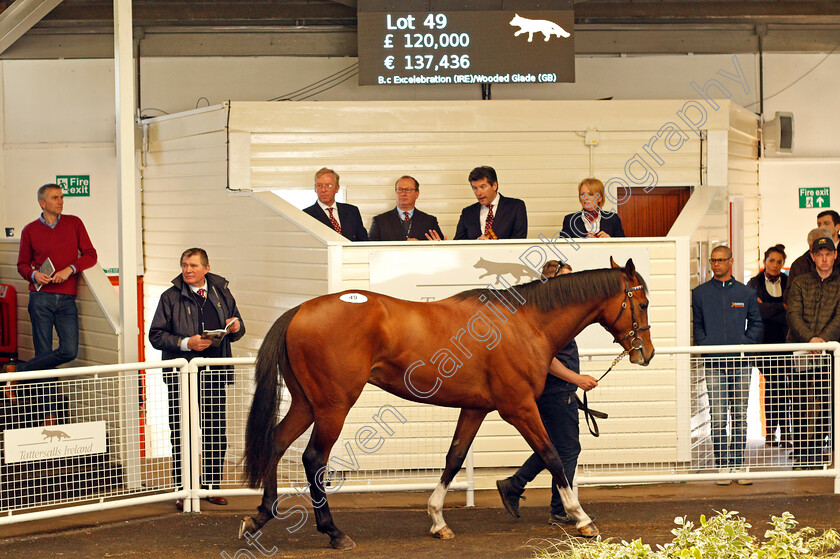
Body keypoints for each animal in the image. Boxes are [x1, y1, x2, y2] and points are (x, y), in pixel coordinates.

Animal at [240, 258, 652, 552]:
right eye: (643, 303)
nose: (645, 353)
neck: (525, 323)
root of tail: (299, 311)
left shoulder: (474, 409)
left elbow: (454, 458)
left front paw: (438, 520)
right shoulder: (518, 408)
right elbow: (551, 455)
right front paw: (581, 518)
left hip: (307, 404)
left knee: (277, 442)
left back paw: (260, 516)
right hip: (332, 407)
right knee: (313, 458)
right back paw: (334, 532)